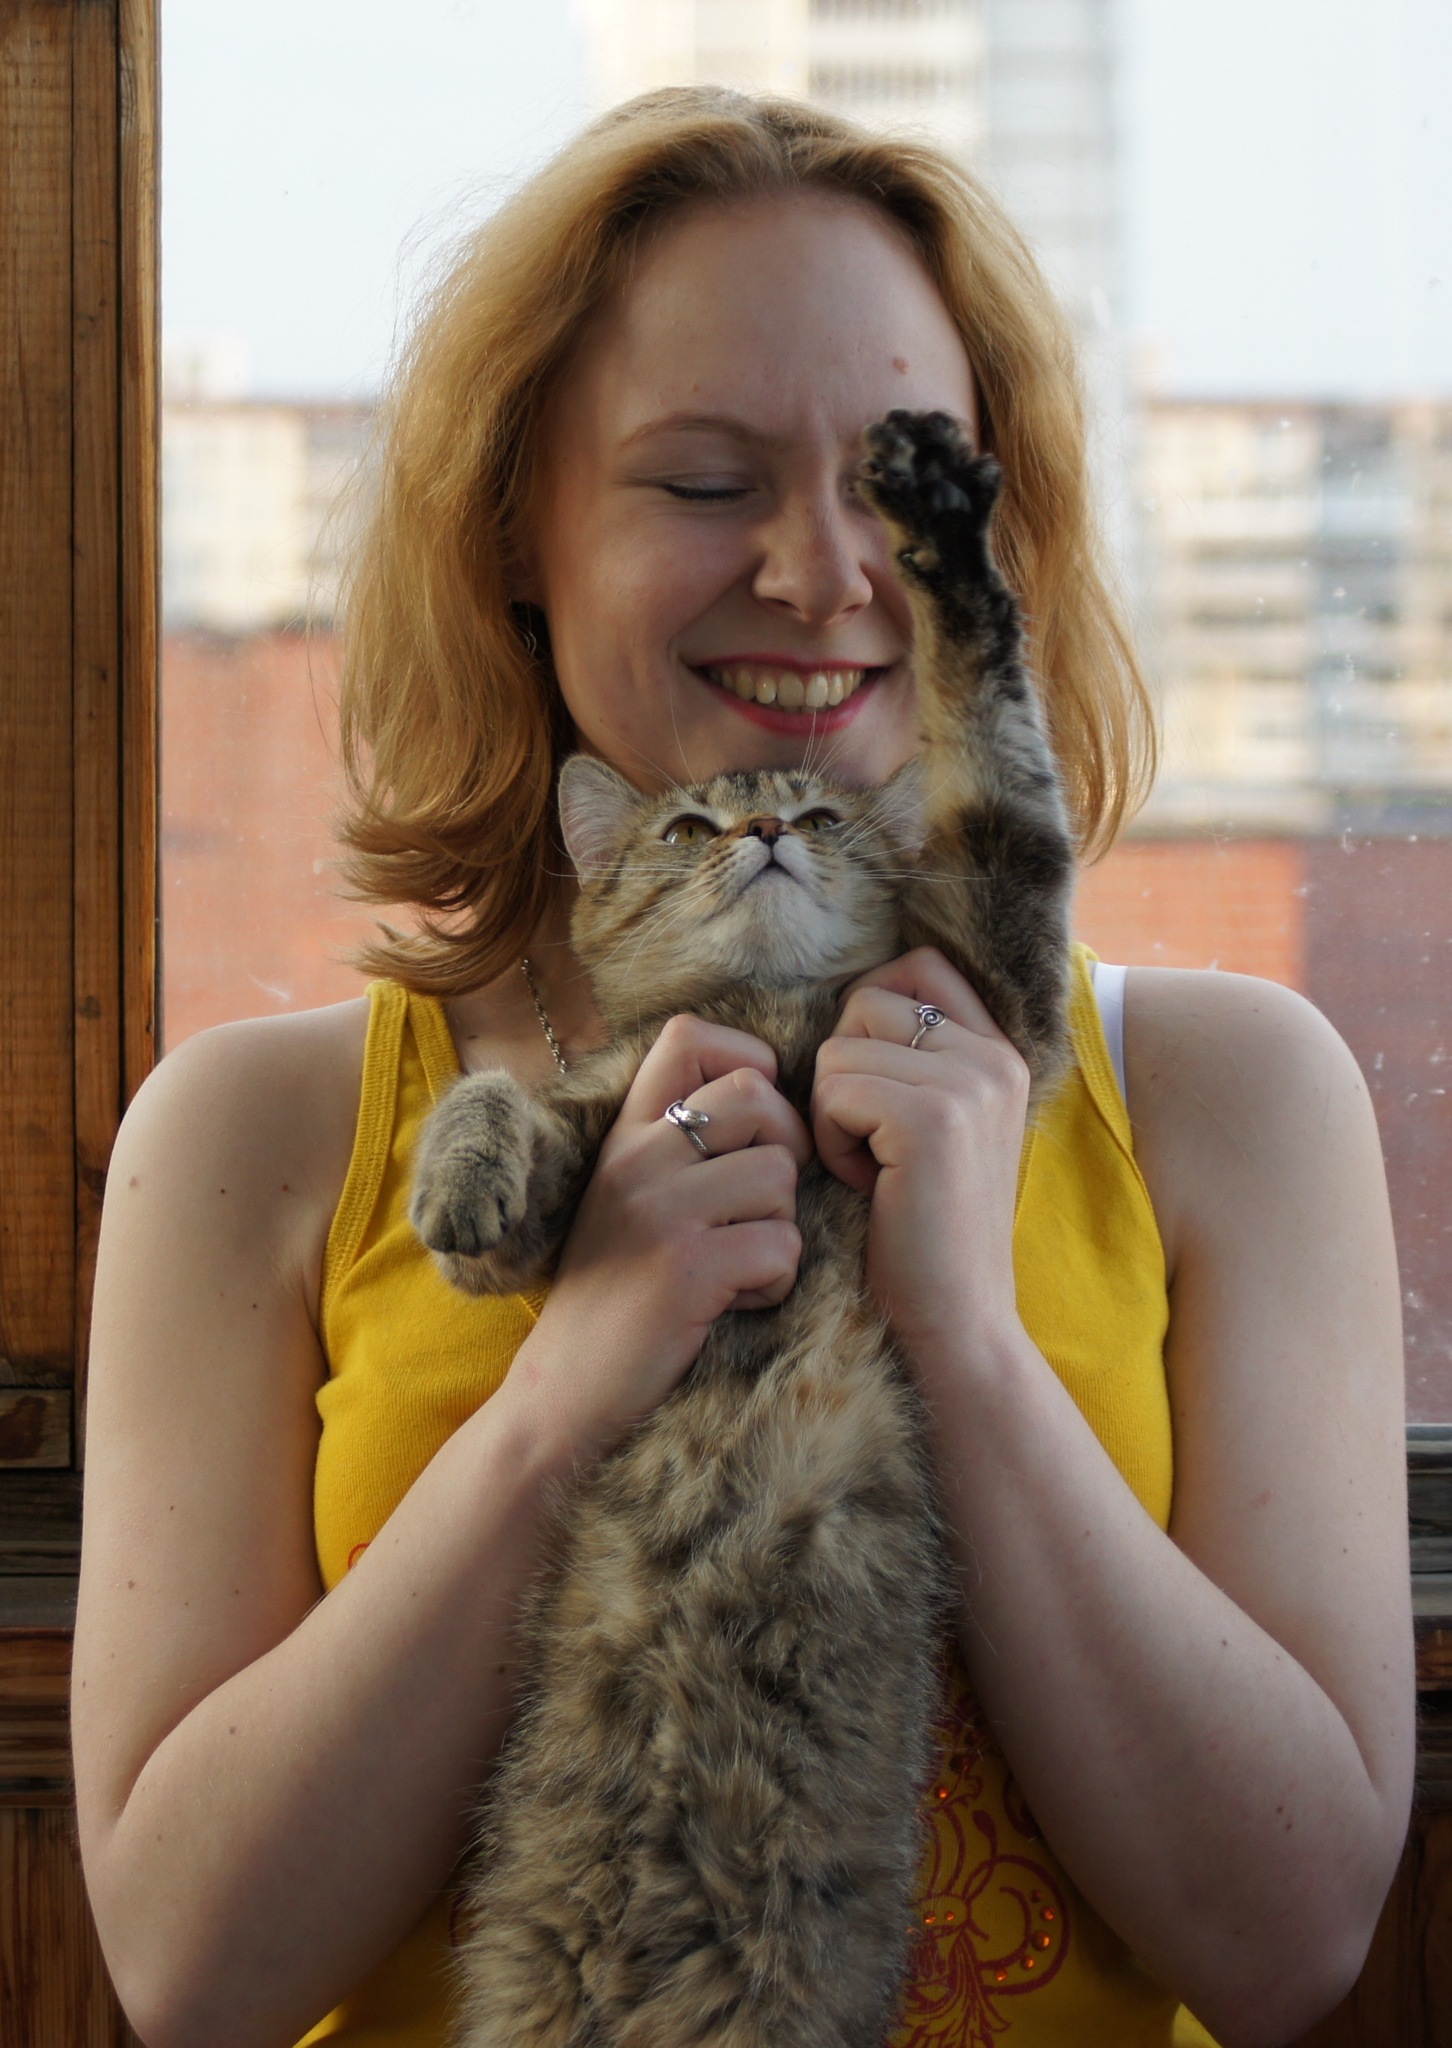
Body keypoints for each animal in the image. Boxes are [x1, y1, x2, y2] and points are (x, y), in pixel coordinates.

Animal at [409, 410, 1076, 2048]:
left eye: (822, 816)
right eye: (694, 824)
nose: (770, 824)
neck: (773, 1015)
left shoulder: (1005, 985)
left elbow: (997, 749)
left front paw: (943, 528)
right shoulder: (611, 1105)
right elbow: (504, 1109)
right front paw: (460, 1185)